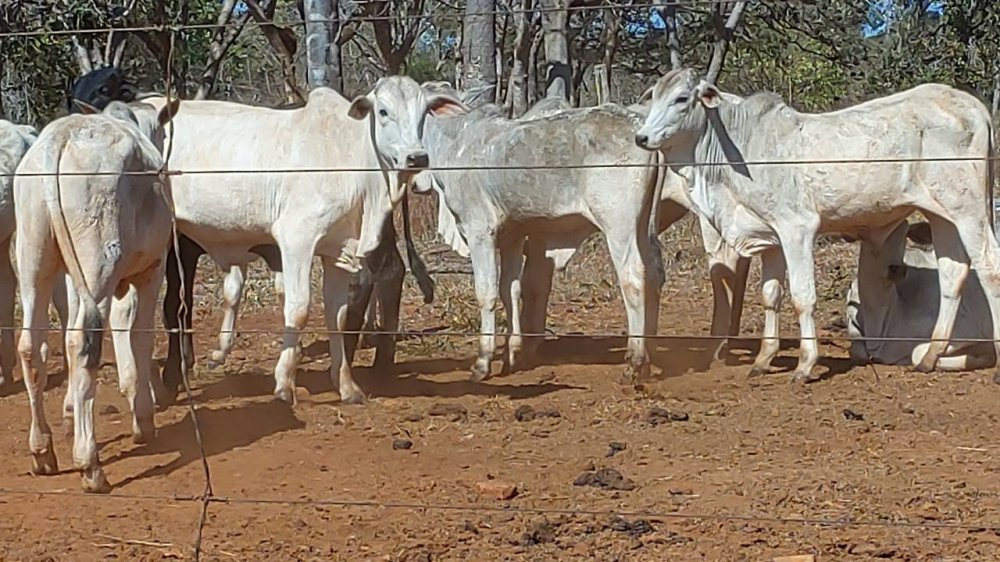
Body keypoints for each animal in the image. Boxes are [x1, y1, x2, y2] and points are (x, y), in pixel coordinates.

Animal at [14, 99, 180, 493]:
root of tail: (58, 138)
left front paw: (69, 411)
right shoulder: (152, 270)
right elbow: (139, 335)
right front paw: (143, 419)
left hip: (34, 259)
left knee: (32, 346)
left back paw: (42, 451)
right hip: (100, 265)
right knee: (83, 341)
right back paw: (89, 464)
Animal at [136, 76, 466, 405]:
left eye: (424, 113)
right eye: (383, 111)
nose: (417, 157)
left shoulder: (336, 251)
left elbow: (337, 314)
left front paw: (347, 385)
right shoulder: (296, 239)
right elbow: (298, 309)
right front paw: (284, 382)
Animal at [846, 220, 996, 370]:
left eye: (906, 233)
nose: (896, 269)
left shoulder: (969, 330)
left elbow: (917, 353)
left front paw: (983, 358)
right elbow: (856, 351)